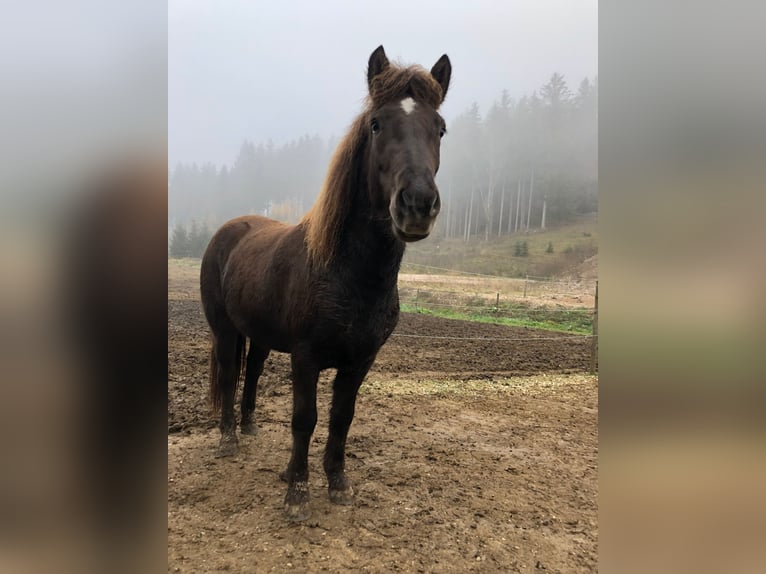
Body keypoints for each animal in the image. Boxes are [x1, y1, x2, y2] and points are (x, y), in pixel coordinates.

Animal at [201, 45, 452, 520]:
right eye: (376, 124)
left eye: (441, 128)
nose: (417, 204)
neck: (350, 276)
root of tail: (228, 229)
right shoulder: (306, 357)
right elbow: (305, 419)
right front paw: (297, 491)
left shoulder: (360, 362)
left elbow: (341, 418)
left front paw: (337, 482)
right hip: (224, 331)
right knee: (228, 375)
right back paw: (228, 440)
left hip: (260, 335)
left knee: (253, 372)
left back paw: (250, 427)